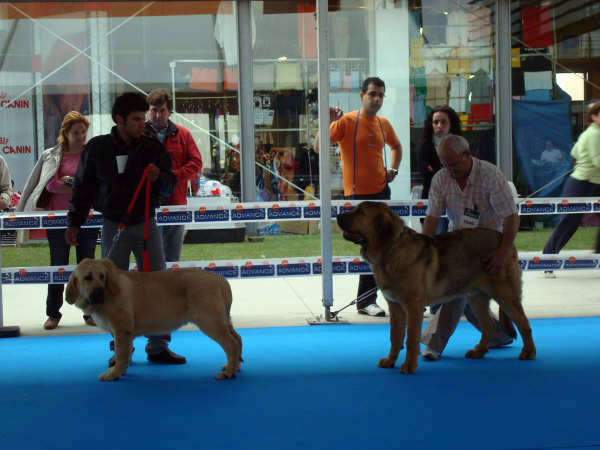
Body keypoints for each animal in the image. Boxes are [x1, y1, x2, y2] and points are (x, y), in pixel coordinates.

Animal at [65, 258, 241, 382]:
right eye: (87, 278)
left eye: (102, 277)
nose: (100, 292)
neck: (109, 292)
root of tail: (220, 279)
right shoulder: (123, 333)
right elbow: (124, 353)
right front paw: (121, 370)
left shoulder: (121, 329)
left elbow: (121, 353)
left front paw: (113, 374)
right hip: (222, 320)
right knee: (238, 339)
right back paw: (234, 366)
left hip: (210, 321)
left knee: (231, 344)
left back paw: (229, 372)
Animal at [336, 202, 536, 374]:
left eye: (360, 212)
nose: (337, 216)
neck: (389, 250)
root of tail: (505, 240)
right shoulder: (395, 306)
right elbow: (395, 336)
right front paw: (390, 361)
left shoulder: (413, 306)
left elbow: (411, 339)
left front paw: (409, 366)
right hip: (476, 297)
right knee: (488, 325)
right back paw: (479, 351)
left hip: (505, 294)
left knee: (524, 323)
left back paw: (528, 352)